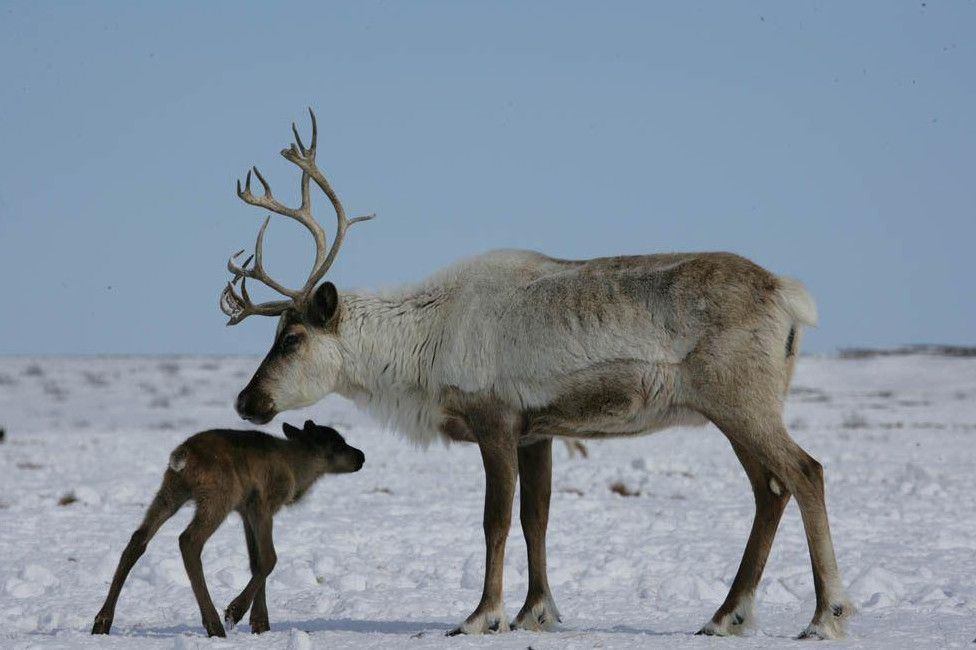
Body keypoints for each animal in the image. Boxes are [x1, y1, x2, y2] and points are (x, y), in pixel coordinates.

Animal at [91, 418, 364, 636]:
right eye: (338, 443)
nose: (361, 456)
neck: (297, 471)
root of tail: (183, 454)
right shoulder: (262, 504)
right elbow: (269, 559)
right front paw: (236, 611)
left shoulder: (245, 512)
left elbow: (255, 561)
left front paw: (260, 624)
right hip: (218, 497)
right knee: (188, 540)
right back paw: (214, 625)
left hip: (171, 491)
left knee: (138, 538)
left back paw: (102, 621)